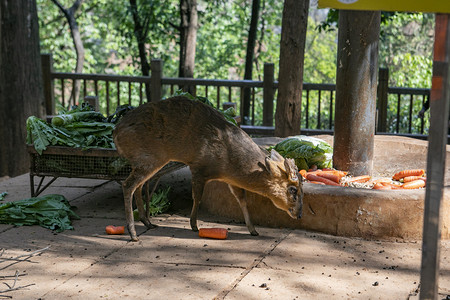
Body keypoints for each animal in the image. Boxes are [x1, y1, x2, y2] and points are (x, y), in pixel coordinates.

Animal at [113, 96, 302, 241]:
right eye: (293, 190)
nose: (299, 214)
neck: (227, 162)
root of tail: (116, 134)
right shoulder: (199, 167)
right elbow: (197, 197)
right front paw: (194, 225)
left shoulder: (231, 180)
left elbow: (242, 200)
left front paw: (253, 230)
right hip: (150, 157)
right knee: (128, 185)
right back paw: (133, 234)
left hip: (147, 161)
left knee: (137, 186)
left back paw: (148, 222)